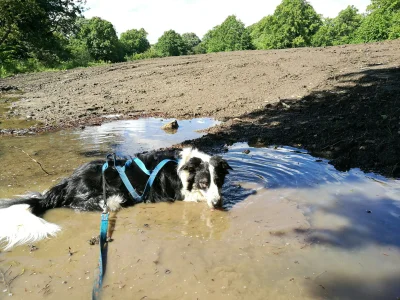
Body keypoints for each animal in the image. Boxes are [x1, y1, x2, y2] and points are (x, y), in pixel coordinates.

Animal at [0, 146, 231, 250]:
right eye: (204, 183)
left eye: (219, 181)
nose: (218, 203)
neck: (183, 168)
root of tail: (68, 182)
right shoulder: (178, 193)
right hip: (103, 193)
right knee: (80, 204)